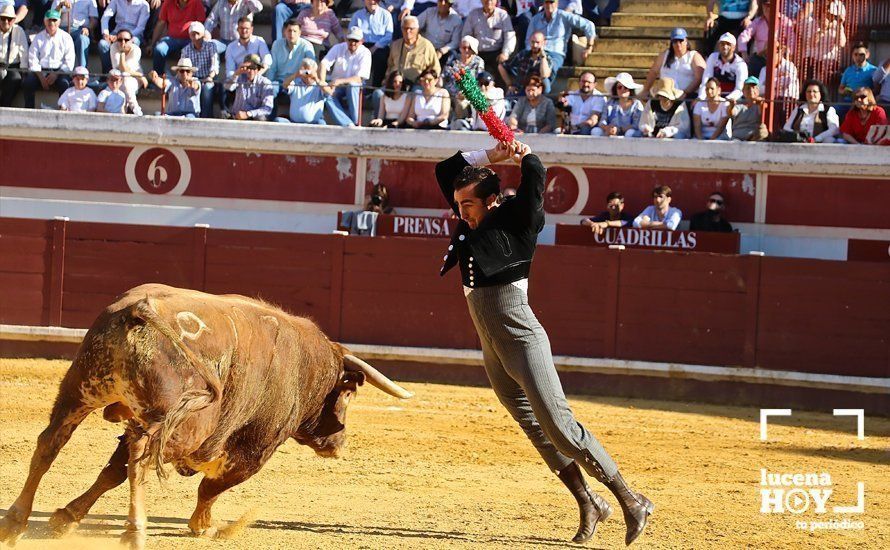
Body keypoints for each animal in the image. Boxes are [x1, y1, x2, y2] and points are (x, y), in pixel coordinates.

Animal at [0, 286, 412, 548]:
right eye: (349, 394)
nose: (339, 445)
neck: (304, 366)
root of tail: (140, 312)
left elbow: (111, 473)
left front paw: (65, 517)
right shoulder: (253, 450)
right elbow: (211, 487)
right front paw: (204, 526)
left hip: (79, 390)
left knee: (52, 443)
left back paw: (15, 521)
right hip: (176, 425)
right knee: (140, 459)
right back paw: (134, 532)